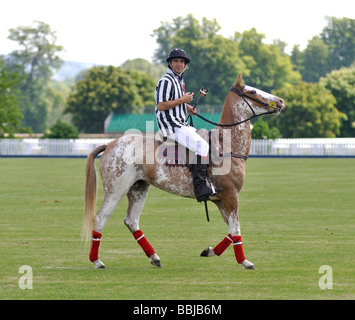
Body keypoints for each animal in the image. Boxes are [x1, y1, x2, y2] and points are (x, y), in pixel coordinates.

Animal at [82, 74, 286, 270]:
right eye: (252, 91)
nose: (281, 101)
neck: (226, 146)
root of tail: (109, 144)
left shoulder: (220, 200)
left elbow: (231, 229)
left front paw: (210, 251)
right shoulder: (230, 195)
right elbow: (236, 229)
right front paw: (245, 262)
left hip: (138, 187)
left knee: (131, 220)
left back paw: (154, 258)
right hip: (116, 188)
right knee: (100, 218)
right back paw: (96, 261)